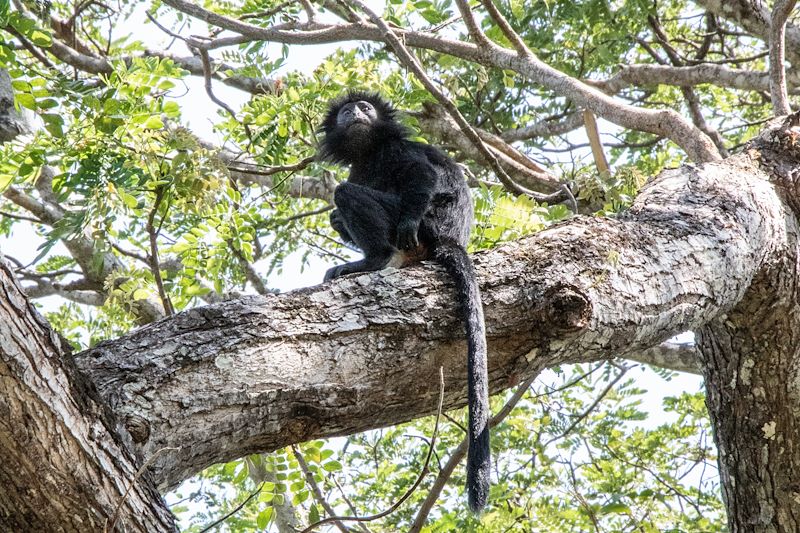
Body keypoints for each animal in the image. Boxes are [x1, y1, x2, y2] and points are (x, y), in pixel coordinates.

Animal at [320, 92, 494, 512]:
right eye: (347, 112)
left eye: (366, 108)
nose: (356, 112)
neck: (369, 150)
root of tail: (450, 240)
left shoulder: (396, 150)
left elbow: (421, 176)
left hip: (424, 230)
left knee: (350, 195)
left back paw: (375, 258)